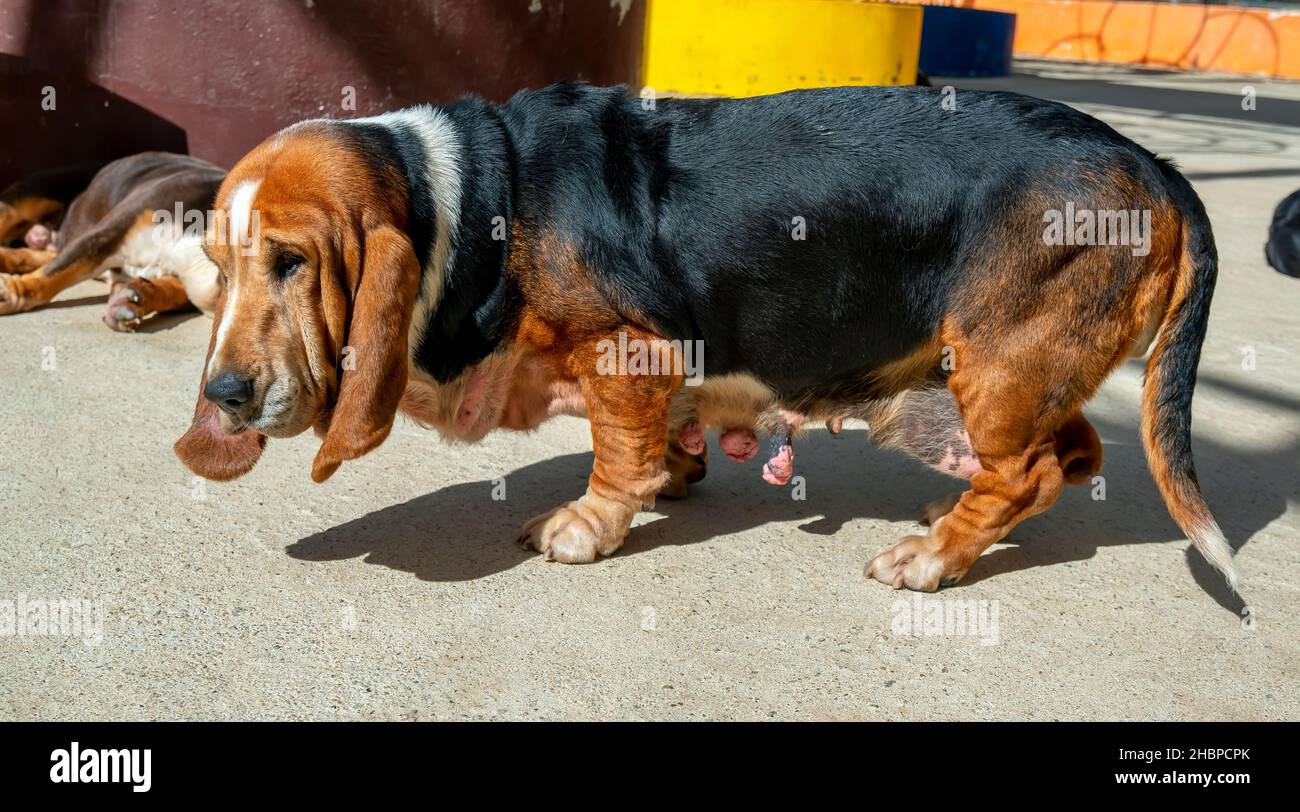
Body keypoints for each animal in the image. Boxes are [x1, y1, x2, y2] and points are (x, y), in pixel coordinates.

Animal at [0, 152, 224, 329]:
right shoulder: (107, 234)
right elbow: (55, 272)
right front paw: (12, 292)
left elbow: (171, 291)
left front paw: (132, 299)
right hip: (28, 197)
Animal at [172, 85, 1237, 592]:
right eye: (215, 264)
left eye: (293, 262)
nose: (223, 396)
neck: (467, 198)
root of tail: (1151, 162)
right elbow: (652, 439)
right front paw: (675, 474)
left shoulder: (627, 348)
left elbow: (612, 452)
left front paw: (586, 527)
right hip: (1012, 378)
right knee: (1073, 455)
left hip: (998, 367)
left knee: (1027, 472)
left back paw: (931, 557)